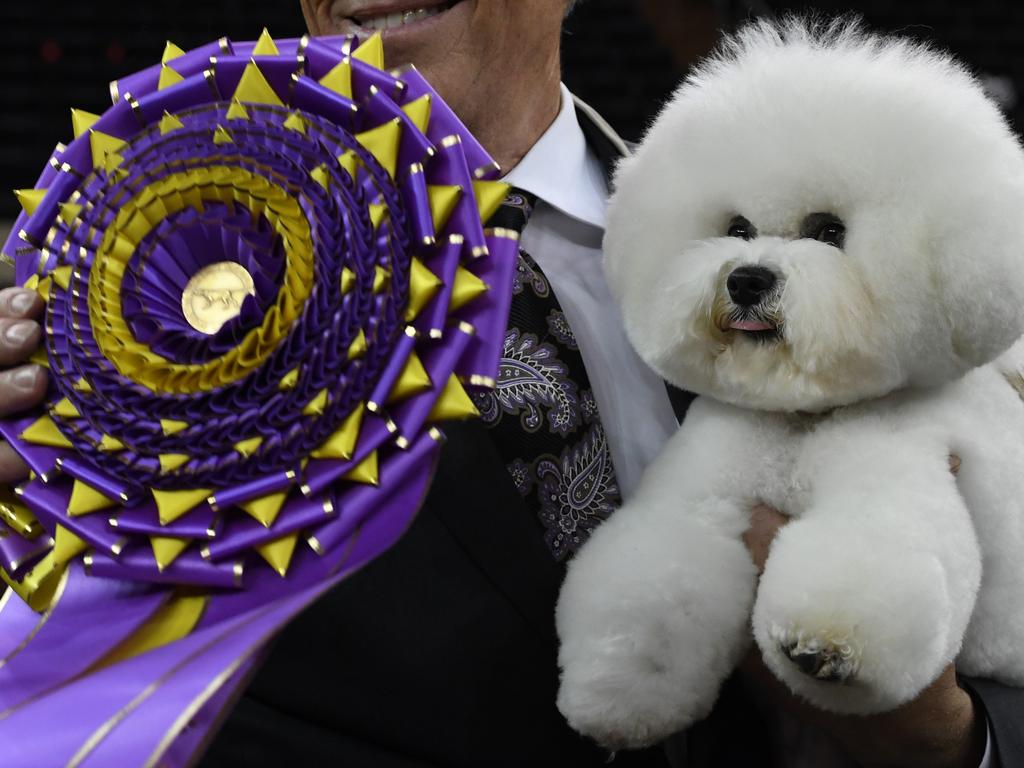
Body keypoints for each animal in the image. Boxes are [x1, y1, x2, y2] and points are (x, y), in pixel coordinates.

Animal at [557, 16, 1024, 753]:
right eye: (737, 228)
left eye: (830, 231)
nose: (746, 279)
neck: (803, 420)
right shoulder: (704, 489)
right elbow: (660, 576)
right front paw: (620, 693)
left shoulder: (898, 470)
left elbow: (875, 547)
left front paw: (825, 648)